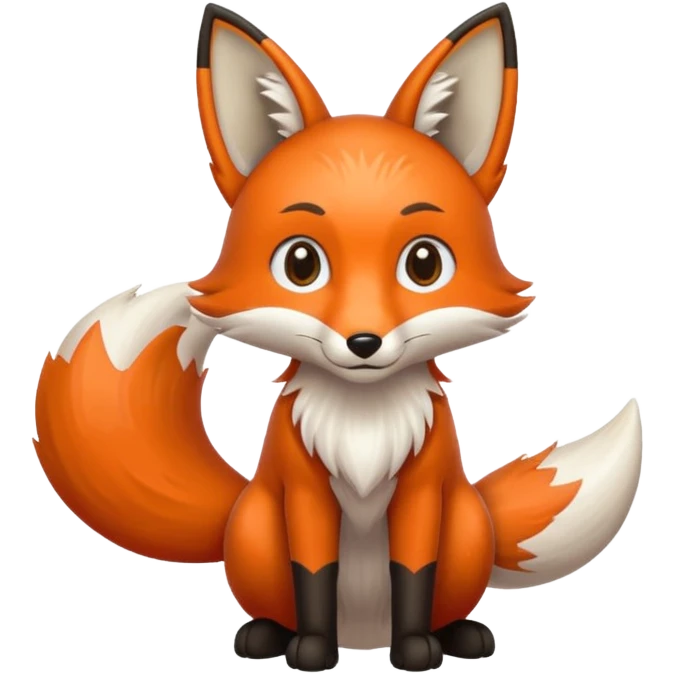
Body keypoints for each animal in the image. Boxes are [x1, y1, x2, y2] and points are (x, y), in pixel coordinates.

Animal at [32, 2, 644, 672]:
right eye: (301, 264)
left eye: (424, 264)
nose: (364, 342)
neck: (364, 426)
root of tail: (364, 634)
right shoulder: (304, 492)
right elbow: (315, 572)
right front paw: (312, 651)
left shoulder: (423, 492)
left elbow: (413, 572)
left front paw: (415, 650)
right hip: (256, 528)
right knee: (274, 600)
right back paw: (267, 635)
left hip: (466, 525)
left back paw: (460, 635)